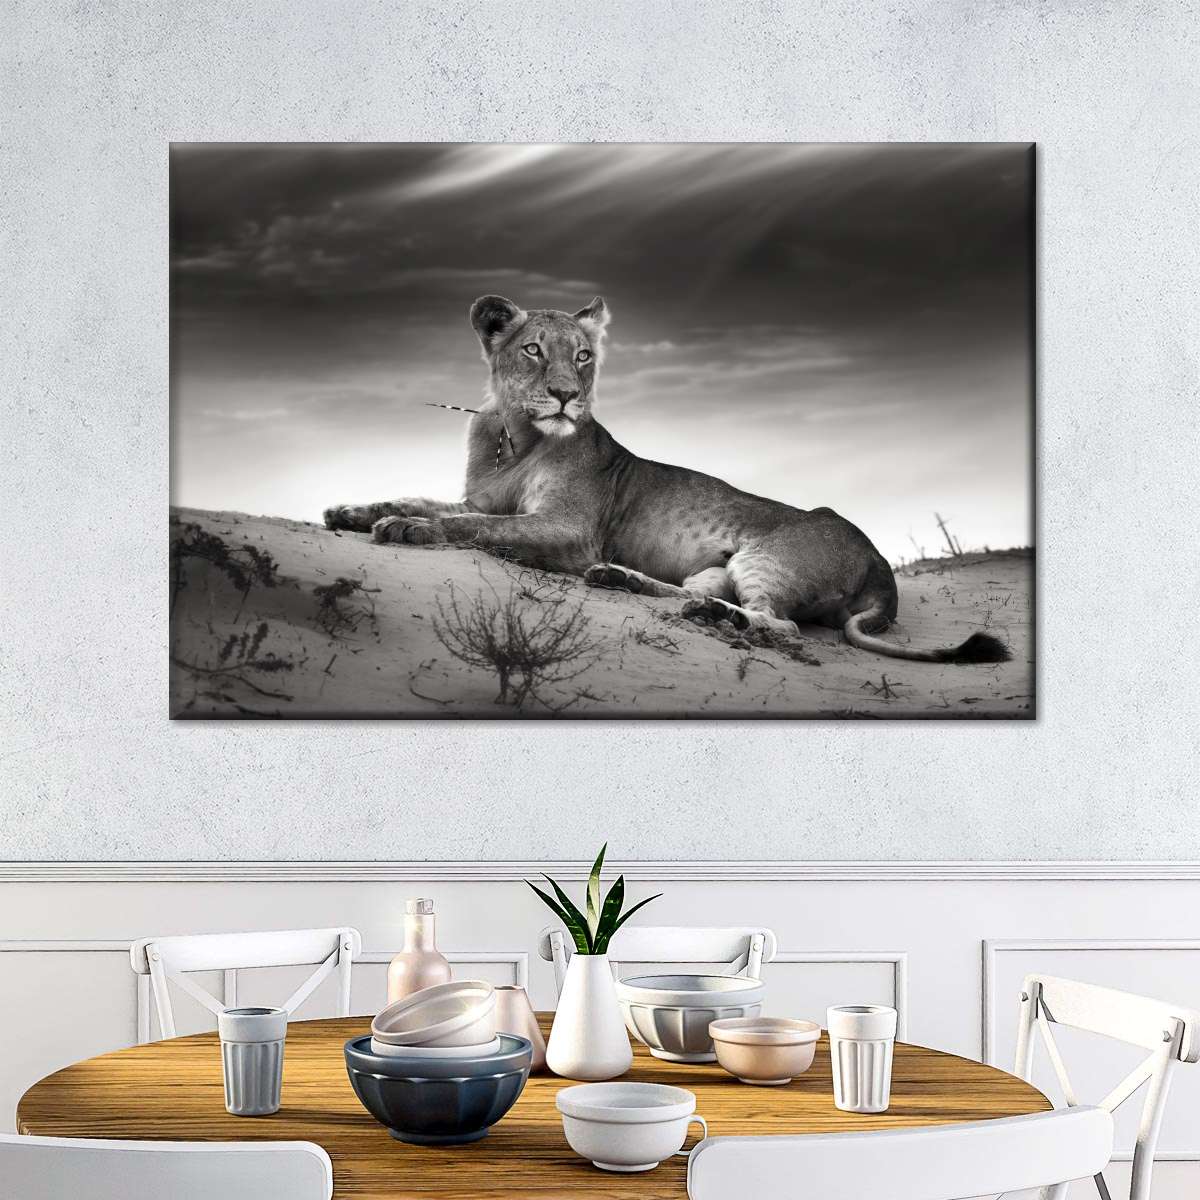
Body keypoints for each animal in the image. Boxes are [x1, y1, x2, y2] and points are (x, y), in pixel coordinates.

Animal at [324, 295, 1010, 664]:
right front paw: (352, 512)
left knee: (778, 624)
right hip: (717, 566)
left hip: (767, 557)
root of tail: (882, 569)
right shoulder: (486, 497)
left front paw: (407, 529)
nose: (567, 396)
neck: (513, 435)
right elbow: (433, 501)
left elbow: (474, 526)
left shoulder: (570, 531)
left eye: (583, 356)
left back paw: (710, 617)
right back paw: (627, 583)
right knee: (693, 593)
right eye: (532, 350)